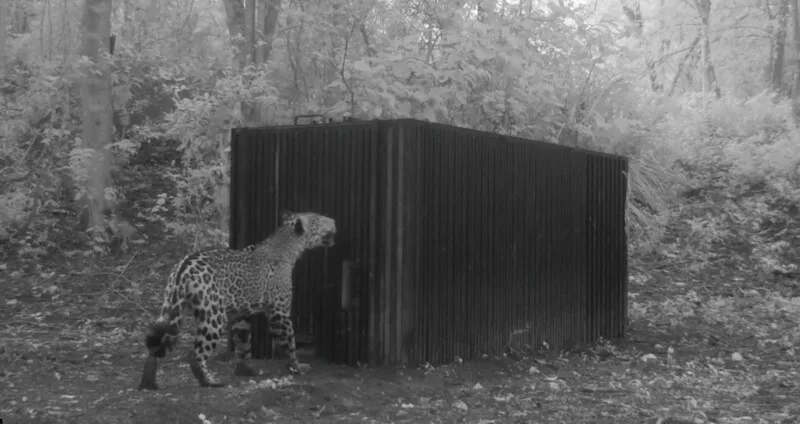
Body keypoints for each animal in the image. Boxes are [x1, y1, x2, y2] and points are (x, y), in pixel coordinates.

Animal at [137, 211, 336, 390]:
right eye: (319, 219)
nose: (334, 220)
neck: (288, 246)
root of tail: (183, 269)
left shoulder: (241, 314)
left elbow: (243, 343)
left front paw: (246, 370)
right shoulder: (279, 313)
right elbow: (289, 342)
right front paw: (296, 367)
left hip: (172, 308)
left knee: (156, 345)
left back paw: (148, 382)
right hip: (213, 317)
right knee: (194, 354)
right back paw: (210, 381)